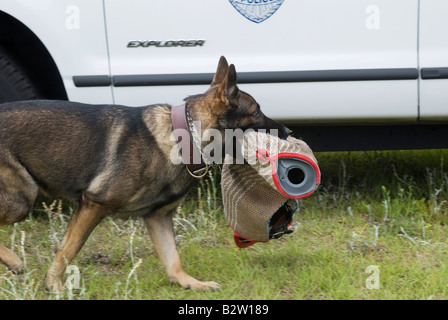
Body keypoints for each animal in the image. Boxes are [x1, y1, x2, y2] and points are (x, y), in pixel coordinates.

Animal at [0, 56, 290, 292]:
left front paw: (191, 284)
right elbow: (68, 250)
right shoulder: (93, 205)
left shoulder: (158, 218)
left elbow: (173, 262)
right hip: (22, 198)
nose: (288, 131)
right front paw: (54, 285)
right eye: (256, 112)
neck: (183, 138)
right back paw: (14, 261)